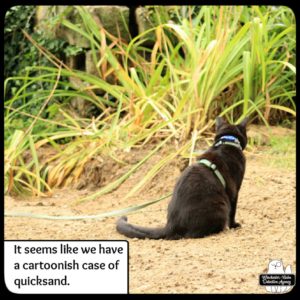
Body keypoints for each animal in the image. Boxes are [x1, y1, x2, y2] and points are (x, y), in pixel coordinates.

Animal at [116, 116, 247, 240]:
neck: (227, 141)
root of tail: (170, 225)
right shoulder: (235, 190)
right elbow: (233, 211)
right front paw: (234, 225)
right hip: (221, 206)